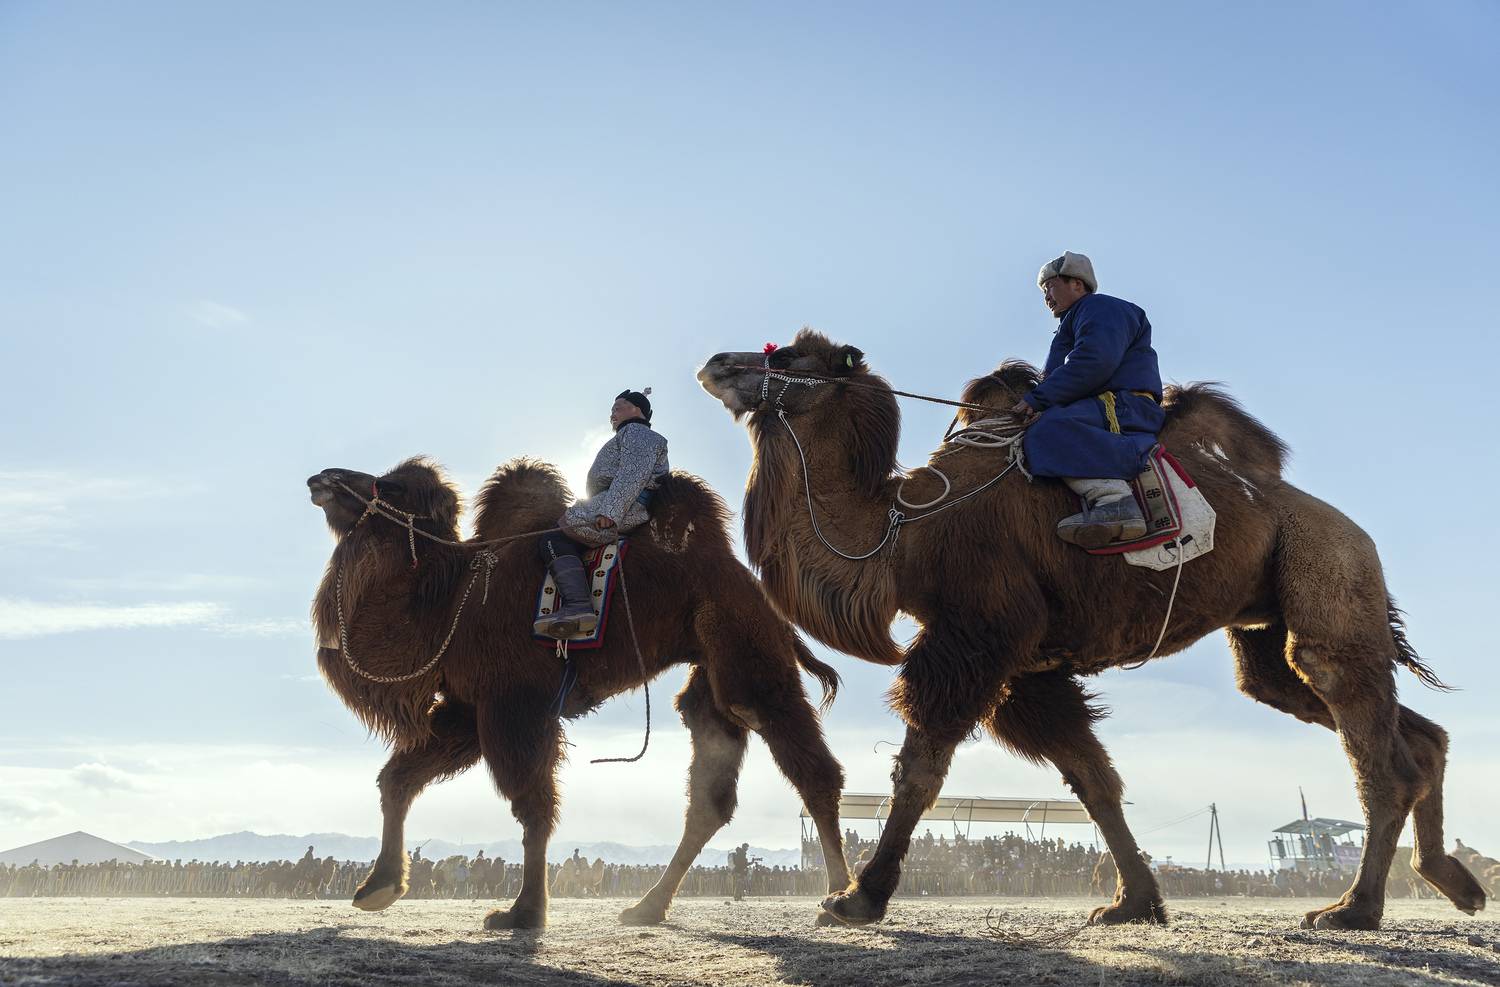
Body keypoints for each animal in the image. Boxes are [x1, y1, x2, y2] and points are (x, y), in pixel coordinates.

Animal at [307, 456, 851, 929]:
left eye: (390, 486)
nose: (322, 478)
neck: (450, 601)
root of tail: (761, 593)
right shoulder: (469, 708)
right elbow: (397, 779)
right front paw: (378, 887)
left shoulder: (515, 702)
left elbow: (532, 806)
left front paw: (523, 914)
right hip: (711, 676)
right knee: (710, 791)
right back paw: (648, 907)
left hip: (745, 644)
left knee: (806, 764)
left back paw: (840, 898)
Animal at [698, 329, 1485, 931]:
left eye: (790, 354)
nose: (717, 363)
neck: (905, 535)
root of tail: (1348, 528)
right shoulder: (1030, 669)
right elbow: (1092, 777)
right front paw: (1133, 902)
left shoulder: (977, 635)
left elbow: (919, 768)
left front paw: (858, 897)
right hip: (1268, 623)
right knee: (1383, 722)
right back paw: (1454, 879)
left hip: (1328, 573)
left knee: (1367, 733)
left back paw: (1353, 908)